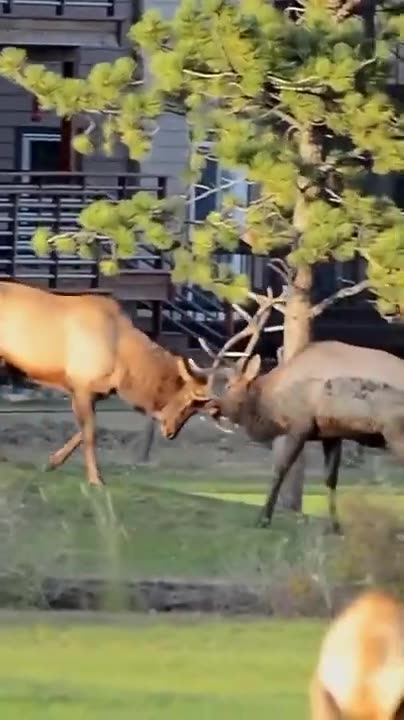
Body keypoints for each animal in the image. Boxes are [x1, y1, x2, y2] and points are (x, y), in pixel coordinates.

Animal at [0, 280, 213, 486]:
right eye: (189, 401)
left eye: (196, 408)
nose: (171, 433)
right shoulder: (81, 384)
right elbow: (90, 434)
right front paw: (95, 479)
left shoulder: (93, 392)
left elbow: (85, 431)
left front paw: (52, 462)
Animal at [200, 291, 404, 532]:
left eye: (230, 386)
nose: (212, 407)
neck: (273, 401)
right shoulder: (331, 432)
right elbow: (330, 479)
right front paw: (335, 526)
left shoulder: (300, 425)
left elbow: (280, 469)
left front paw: (263, 518)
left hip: (396, 432)